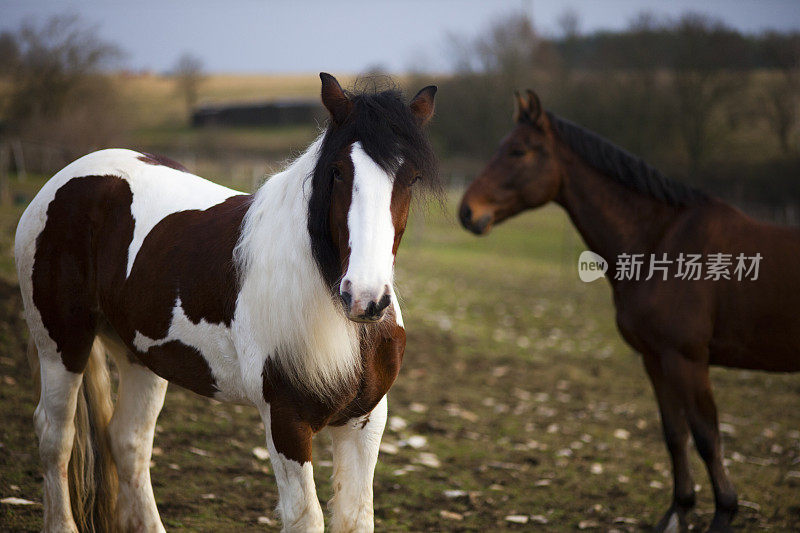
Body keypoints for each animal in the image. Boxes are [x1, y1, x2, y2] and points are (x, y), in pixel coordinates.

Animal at [15, 74, 438, 532]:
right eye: (338, 171)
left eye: (411, 177)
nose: (365, 297)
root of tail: (69, 176)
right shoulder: (285, 421)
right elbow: (305, 517)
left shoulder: (365, 421)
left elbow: (357, 518)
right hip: (62, 345)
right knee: (56, 437)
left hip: (139, 356)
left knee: (128, 441)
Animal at [456, 89, 800, 528]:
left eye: (518, 150)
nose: (467, 211)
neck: (661, 242)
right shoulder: (656, 359)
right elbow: (675, 435)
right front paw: (678, 512)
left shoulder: (688, 360)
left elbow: (707, 437)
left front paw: (724, 514)